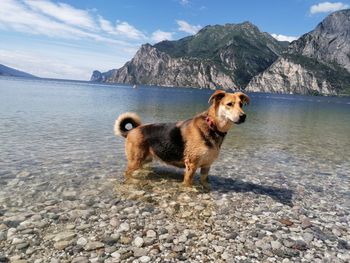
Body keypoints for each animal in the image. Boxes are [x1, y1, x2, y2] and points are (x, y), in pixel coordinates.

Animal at [114, 90, 249, 188]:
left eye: (241, 104)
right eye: (229, 104)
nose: (243, 116)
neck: (212, 126)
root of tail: (132, 131)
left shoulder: (206, 166)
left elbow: (204, 181)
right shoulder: (191, 166)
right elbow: (188, 184)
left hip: (145, 160)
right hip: (135, 160)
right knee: (126, 173)